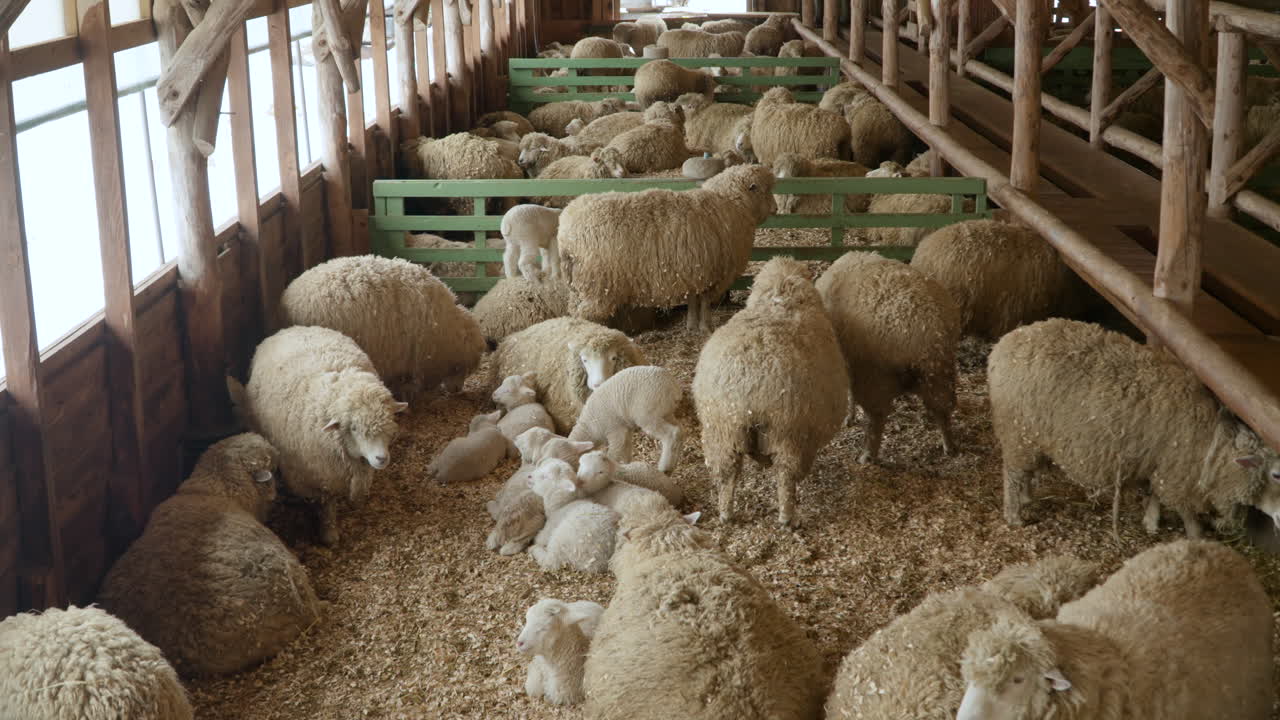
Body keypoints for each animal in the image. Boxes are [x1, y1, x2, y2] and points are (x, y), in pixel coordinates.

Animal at [227, 326, 406, 546]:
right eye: (354, 428)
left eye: (389, 421)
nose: (381, 458)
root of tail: (291, 328)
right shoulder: (319, 478)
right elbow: (326, 504)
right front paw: (329, 534)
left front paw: (358, 503)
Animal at [558, 164, 776, 332]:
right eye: (764, 189)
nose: (775, 209)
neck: (732, 204)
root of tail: (564, 234)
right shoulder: (712, 274)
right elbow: (705, 304)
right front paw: (706, 328)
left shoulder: (694, 273)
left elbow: (693, 301)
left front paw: (691, 326)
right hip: (598, 284)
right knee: (585, 314)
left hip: (580, 284)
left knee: (574, 310)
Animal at [693, 256, 848, 527]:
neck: (781, 297)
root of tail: (750, 388)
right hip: (788, 432)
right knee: (785, 476)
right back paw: (787, 518)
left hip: (722, 429)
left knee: (727, 474)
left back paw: (726, 514)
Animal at [815, 252, 960, 463]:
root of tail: (926, 337)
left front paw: (849, 417)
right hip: (940, 377)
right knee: (943, 409)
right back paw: (950, 446)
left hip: (876, 379)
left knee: (877, 418)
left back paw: (867, 456)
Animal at [989, 318, 1280, 537]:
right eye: (1277, 474)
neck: (1212, 445)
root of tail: (1004, 345)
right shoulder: (1176, 475)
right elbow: (1185, 512)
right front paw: (1197, 536)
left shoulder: (1159, 464)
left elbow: (1154, 495)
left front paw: (1151, 522)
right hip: (1016, 432)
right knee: (1012, 474)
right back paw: (1014, 514)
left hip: (1030, 436)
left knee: (1024, 472)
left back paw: (1026, 497)